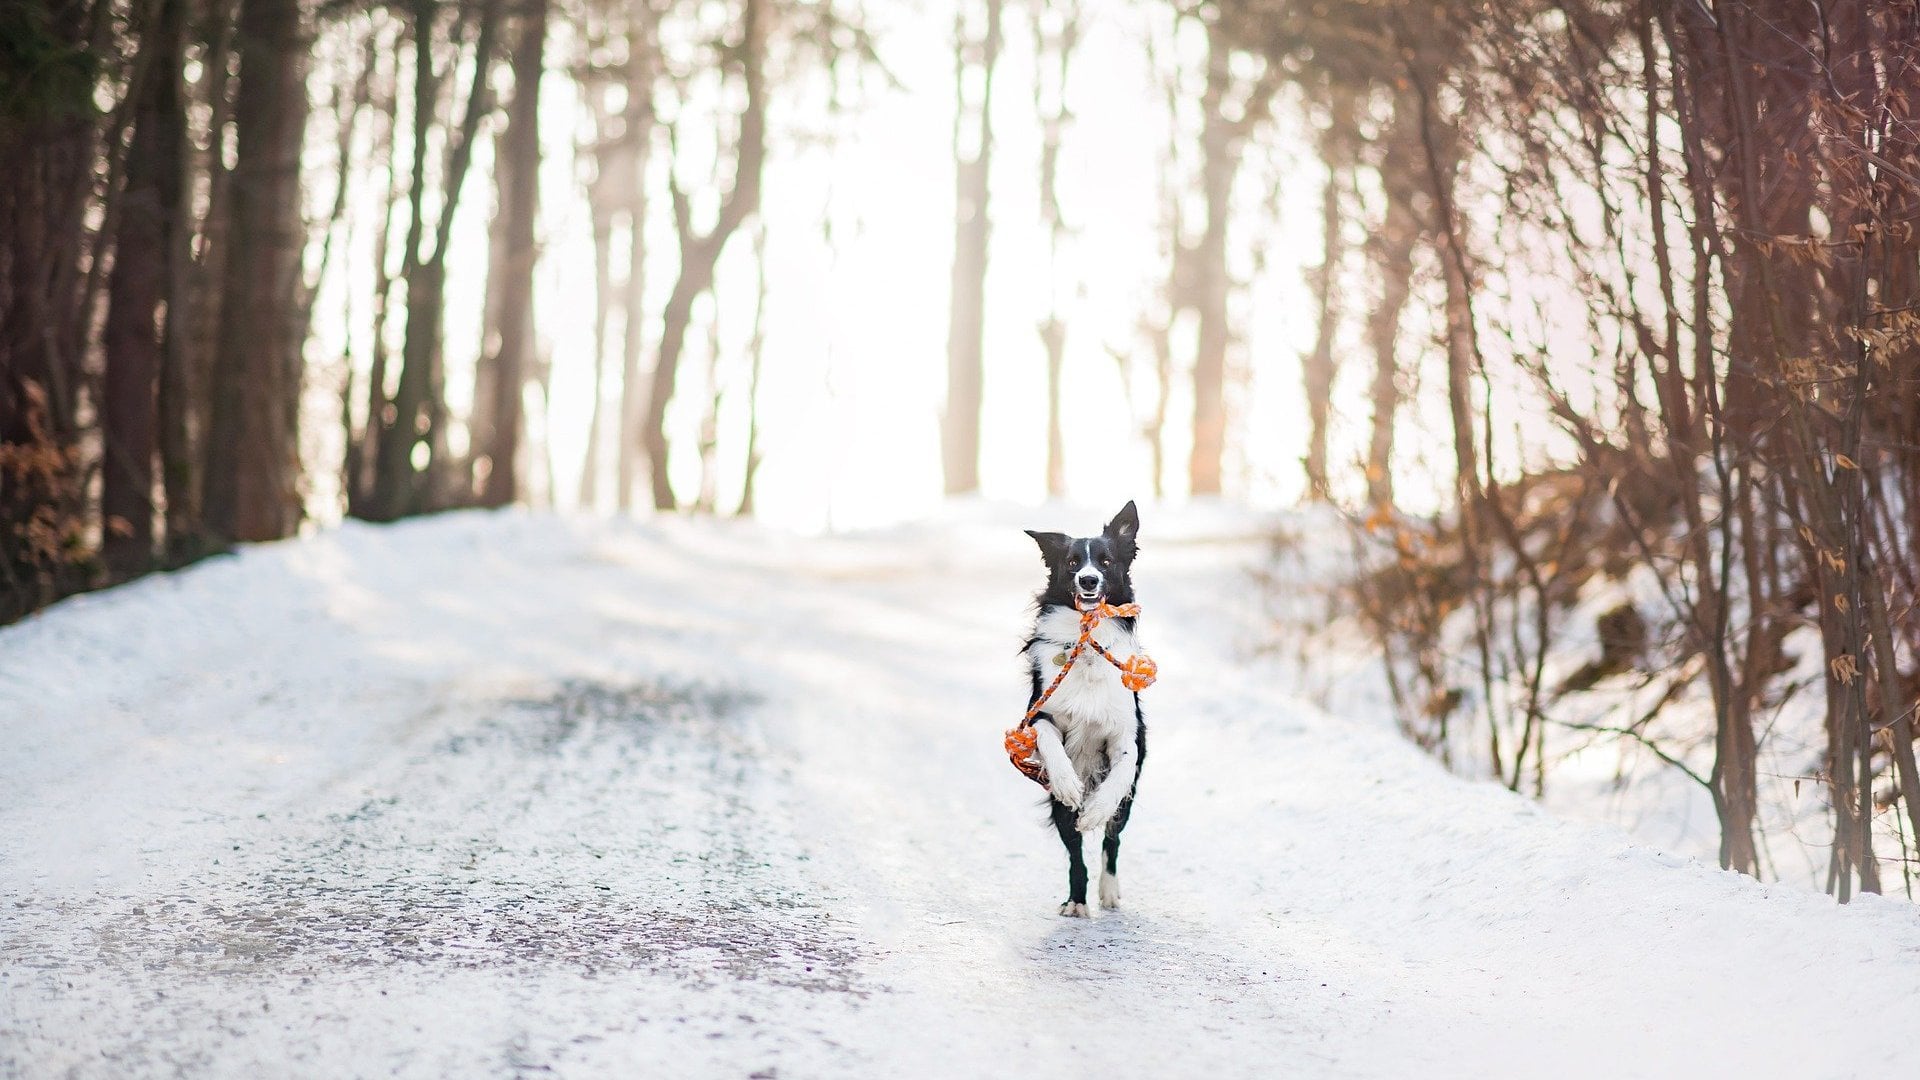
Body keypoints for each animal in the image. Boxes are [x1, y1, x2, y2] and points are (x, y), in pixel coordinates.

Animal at [1029, 499, 1144, 910]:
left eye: (1106, 562)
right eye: (1073, 563)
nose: (1089, 581)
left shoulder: (1126, 731)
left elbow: (1120, 774)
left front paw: (1095, 810)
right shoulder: (1039, 713)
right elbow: (1049, 741)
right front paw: (1068, 782)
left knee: (1113, 841)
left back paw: (1108, 891)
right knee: (1074, 848)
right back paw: (1077, 900)